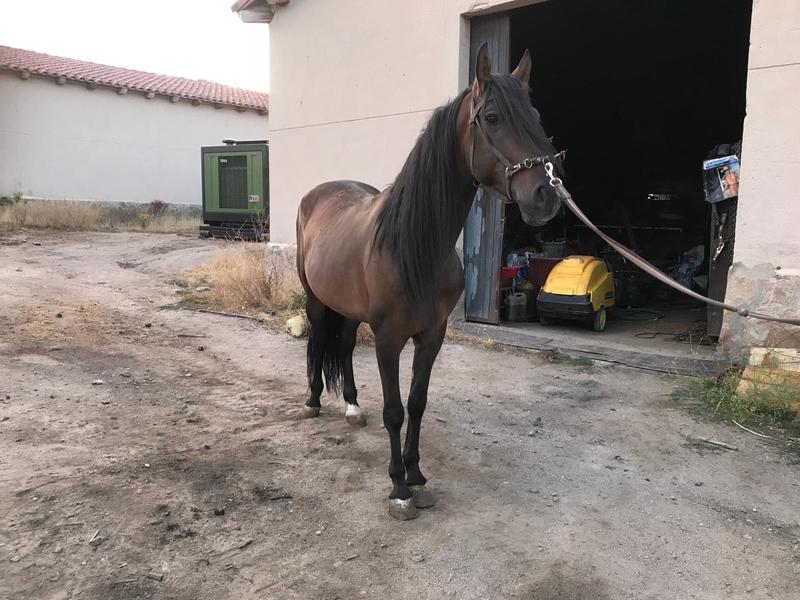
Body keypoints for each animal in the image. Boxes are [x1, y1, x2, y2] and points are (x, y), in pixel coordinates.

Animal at [296, 44, 566, 520]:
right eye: (492, 117)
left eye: (534, 114)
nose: (546, 196)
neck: (416, 247)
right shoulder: (388, 338)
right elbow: (394, 410)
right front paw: (399, 488)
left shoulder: (432, 335)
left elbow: (417, 405)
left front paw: (417, 475)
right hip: (315, 299)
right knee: (318, 341)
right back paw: (312, 402)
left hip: (350, 309)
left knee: (342, 346)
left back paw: (352, 406)